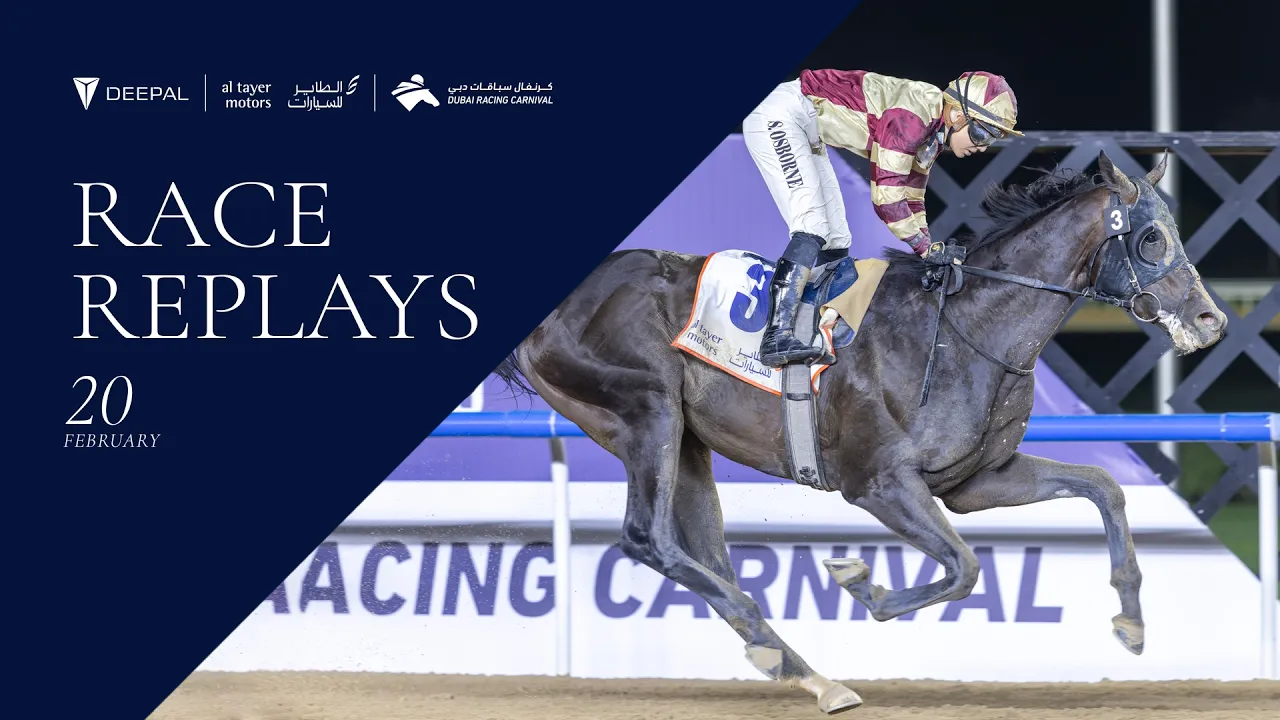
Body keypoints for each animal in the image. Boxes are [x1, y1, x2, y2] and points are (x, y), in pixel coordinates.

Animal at [492, 150, 1226, 714]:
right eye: (1152, 238)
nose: (1212, 321)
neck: (967, 325)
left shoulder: (974, 480)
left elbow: (1103, 486)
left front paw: (1131, 619)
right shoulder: (876, 481)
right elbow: (963, 567)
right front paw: (863, 586)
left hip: (687, 441)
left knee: (705, 554)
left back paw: (800, 669)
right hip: (647, 409)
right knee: (648, 537)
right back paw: (790, 658)